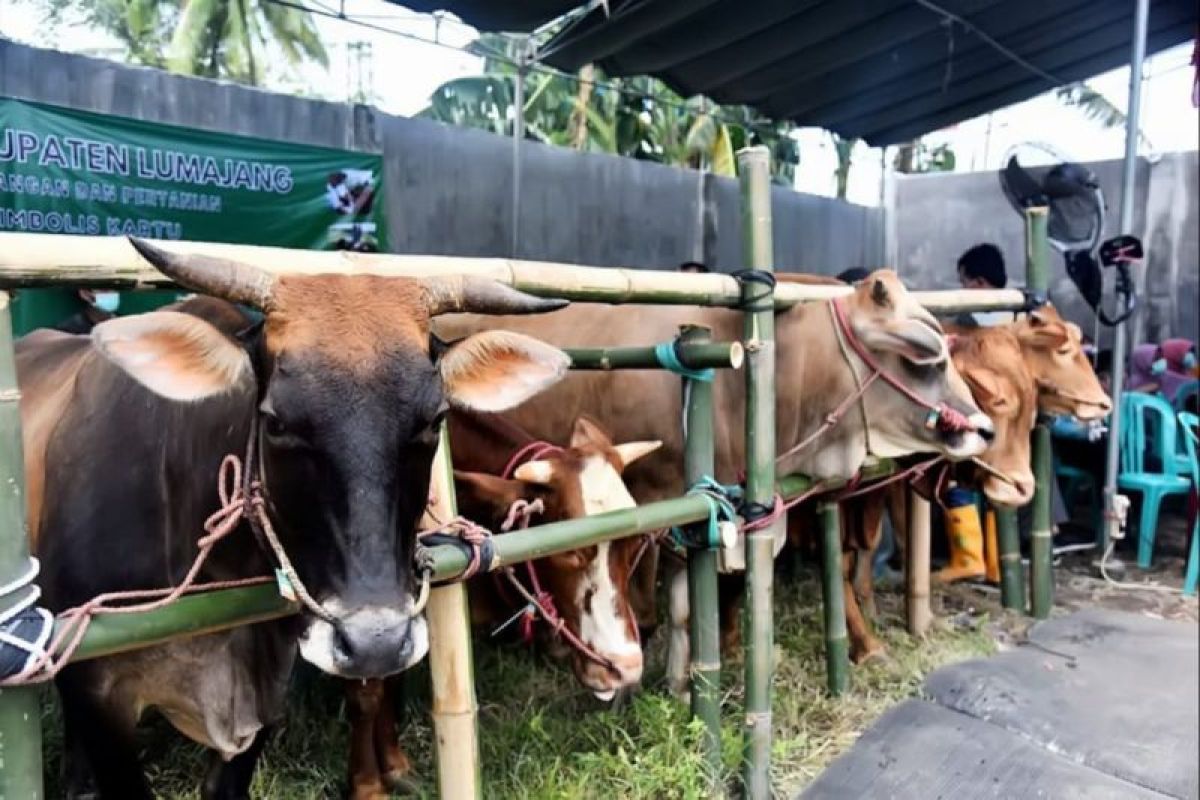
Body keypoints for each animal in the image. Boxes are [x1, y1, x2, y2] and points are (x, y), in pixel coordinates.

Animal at [343, 412, 662, 800]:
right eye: (571, 550)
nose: (625, 668)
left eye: (633, 541)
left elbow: (392, 677)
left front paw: (394, 764)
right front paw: (368, 785)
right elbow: (367, 693)